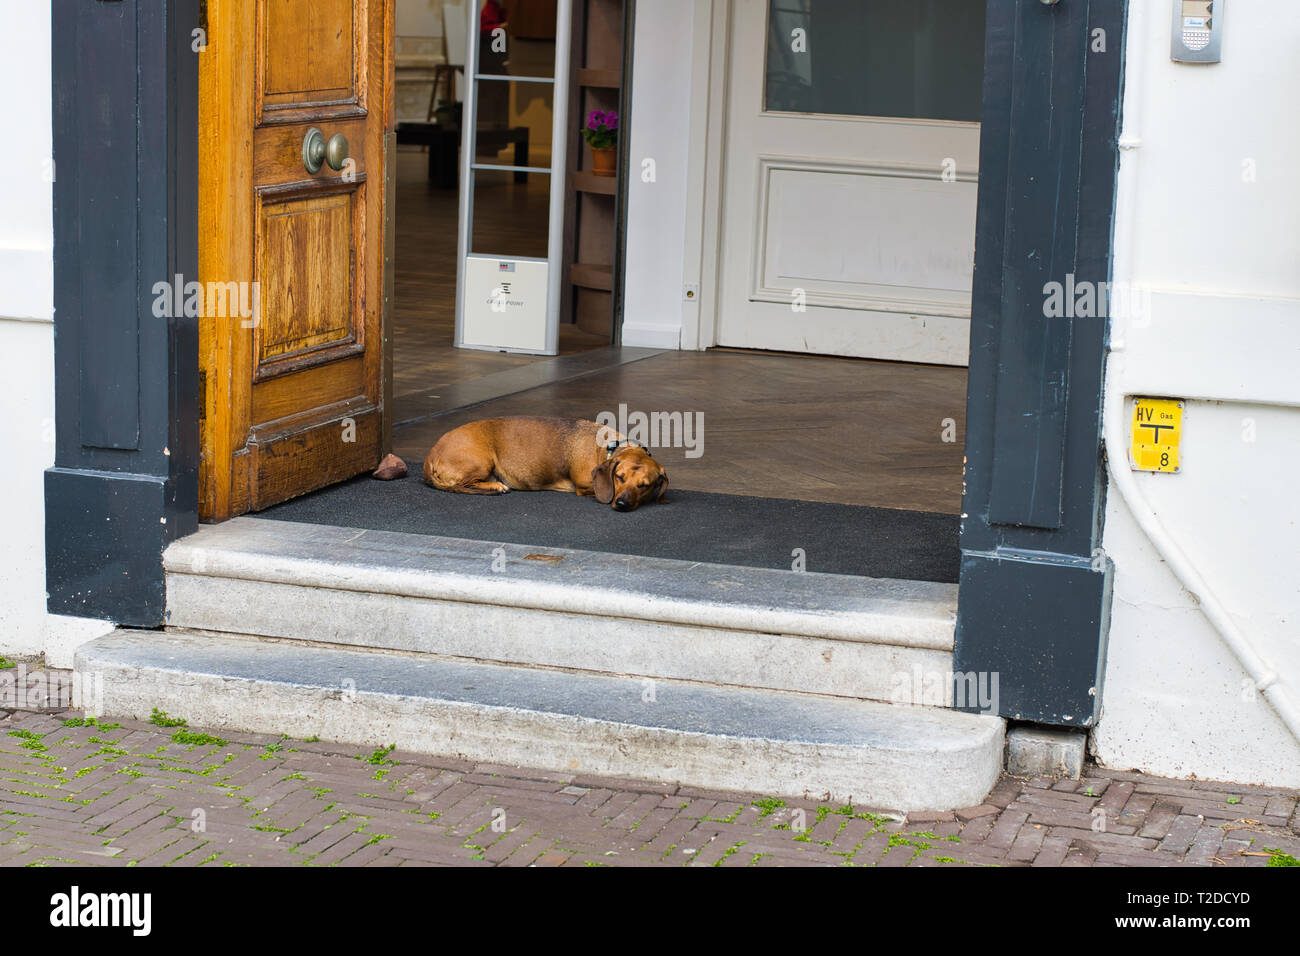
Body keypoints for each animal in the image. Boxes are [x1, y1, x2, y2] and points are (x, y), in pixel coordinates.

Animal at [423, 416, 670, 512]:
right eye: (619, 477)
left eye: (644, 485)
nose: (621, 504)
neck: (608, 448)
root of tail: (429, 458)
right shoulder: (584, 486)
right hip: (481, 461)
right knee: (463, 485)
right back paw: (494, 486)